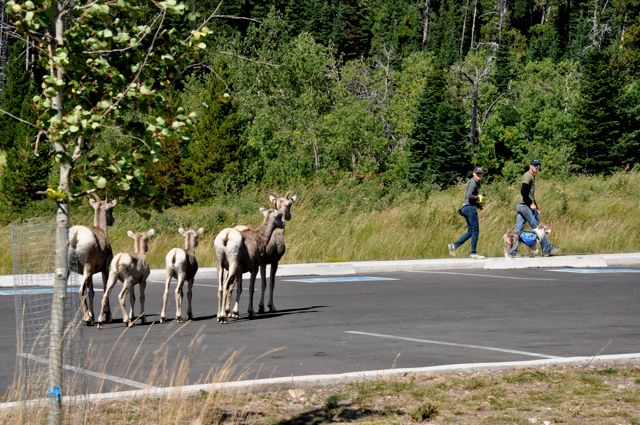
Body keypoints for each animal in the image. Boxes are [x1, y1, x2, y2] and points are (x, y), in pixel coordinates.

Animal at [69, 191, 119, 324]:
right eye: (111, 208)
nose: (113, 220)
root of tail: (75, 236)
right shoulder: (105, 268)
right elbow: (105, 288)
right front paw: (107, 316)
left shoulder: (90, 275)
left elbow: (91, 292)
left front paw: (93, 316)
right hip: (87, 266)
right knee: (80, 290)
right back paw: (86, 318)